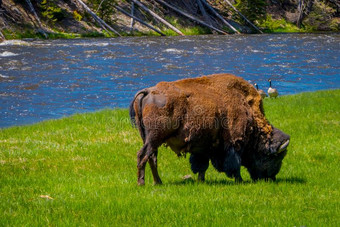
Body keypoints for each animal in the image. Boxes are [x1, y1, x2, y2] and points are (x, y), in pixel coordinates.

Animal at [129, 73, 290, 185]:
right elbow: (234, 164)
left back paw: (158, 182)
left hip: (150, 139)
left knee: (151, 157)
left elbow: (201, 165)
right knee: (143, 155)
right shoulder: (234, 143)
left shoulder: (203, 147)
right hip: (154, 138)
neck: (246, 107)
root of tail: (147, 92)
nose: (271, 178)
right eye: (275, 157)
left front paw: (201, 180)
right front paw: (240, 180)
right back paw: (142, 183)